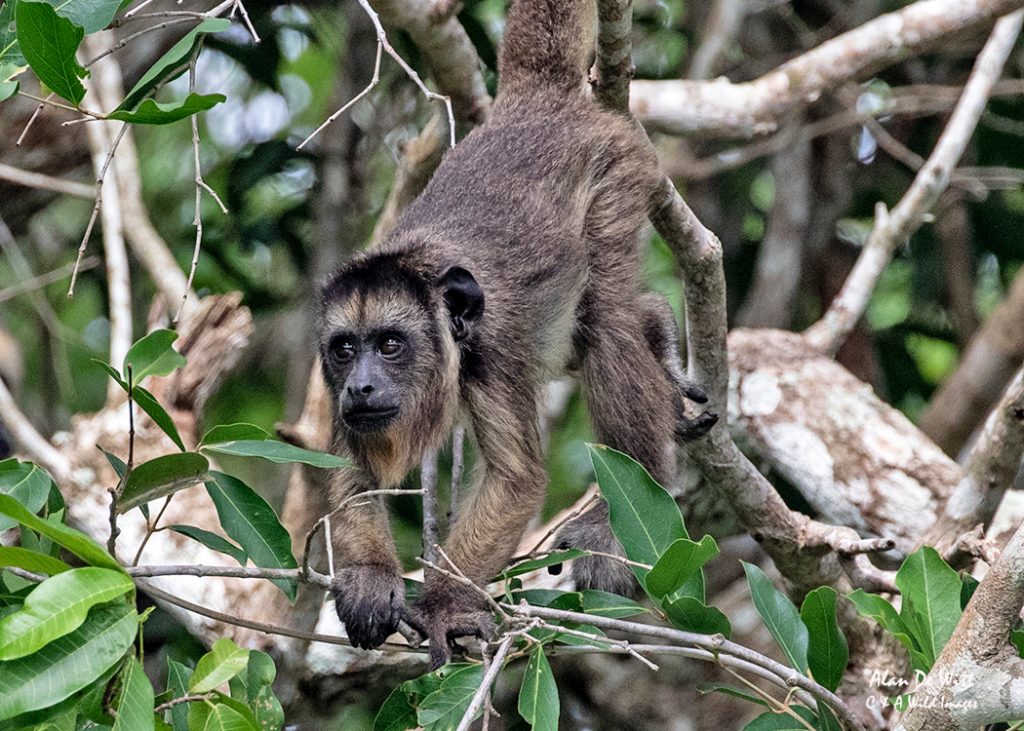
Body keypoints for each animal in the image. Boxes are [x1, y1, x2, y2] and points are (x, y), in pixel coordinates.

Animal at [316, 0, 717, 668]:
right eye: (345, 349)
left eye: (391, 344)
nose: (361, 388)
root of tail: (537, 103)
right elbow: (350, 473)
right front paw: (370, 579)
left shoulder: (492, 349)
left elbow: (516, 480)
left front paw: (446, 605)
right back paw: (658, 328)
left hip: (620, 166)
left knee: (606, 321)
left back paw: (619, 513)